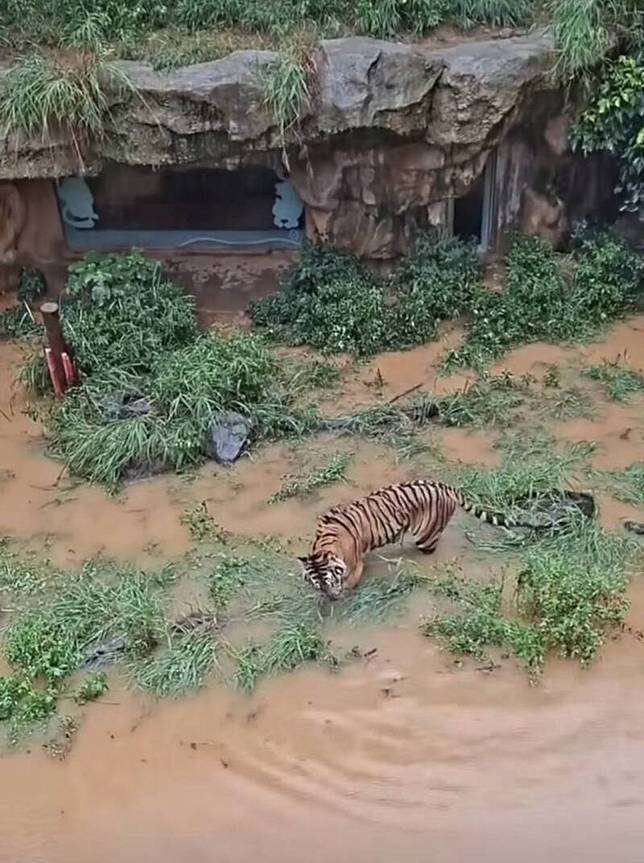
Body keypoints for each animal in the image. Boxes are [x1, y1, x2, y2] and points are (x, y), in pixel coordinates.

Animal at [298, 479, 545, 600]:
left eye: (330, 581)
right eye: (317, 584)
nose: (331, 598)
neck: (323, 543)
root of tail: (447, 487)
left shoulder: (356, 565)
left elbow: (351, 582)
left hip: (426, 536)